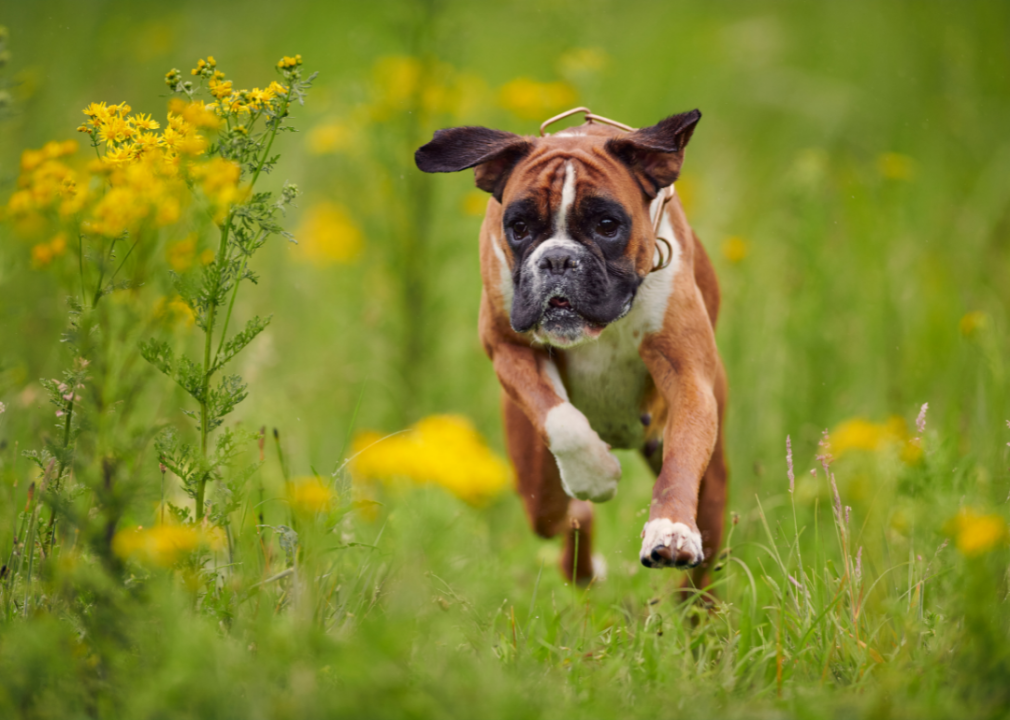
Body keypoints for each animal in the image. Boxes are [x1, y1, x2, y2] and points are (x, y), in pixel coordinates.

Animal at [416, 109, 727, 585]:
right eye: (519, 228)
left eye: (607, 226)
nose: (558, 259)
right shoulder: (508, 348)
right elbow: (560, 419)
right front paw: (595, 475)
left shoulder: (689, 376)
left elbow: (681, 461)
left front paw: (670, 529)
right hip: (536, 485)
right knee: (568, 515)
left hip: (712, 491)